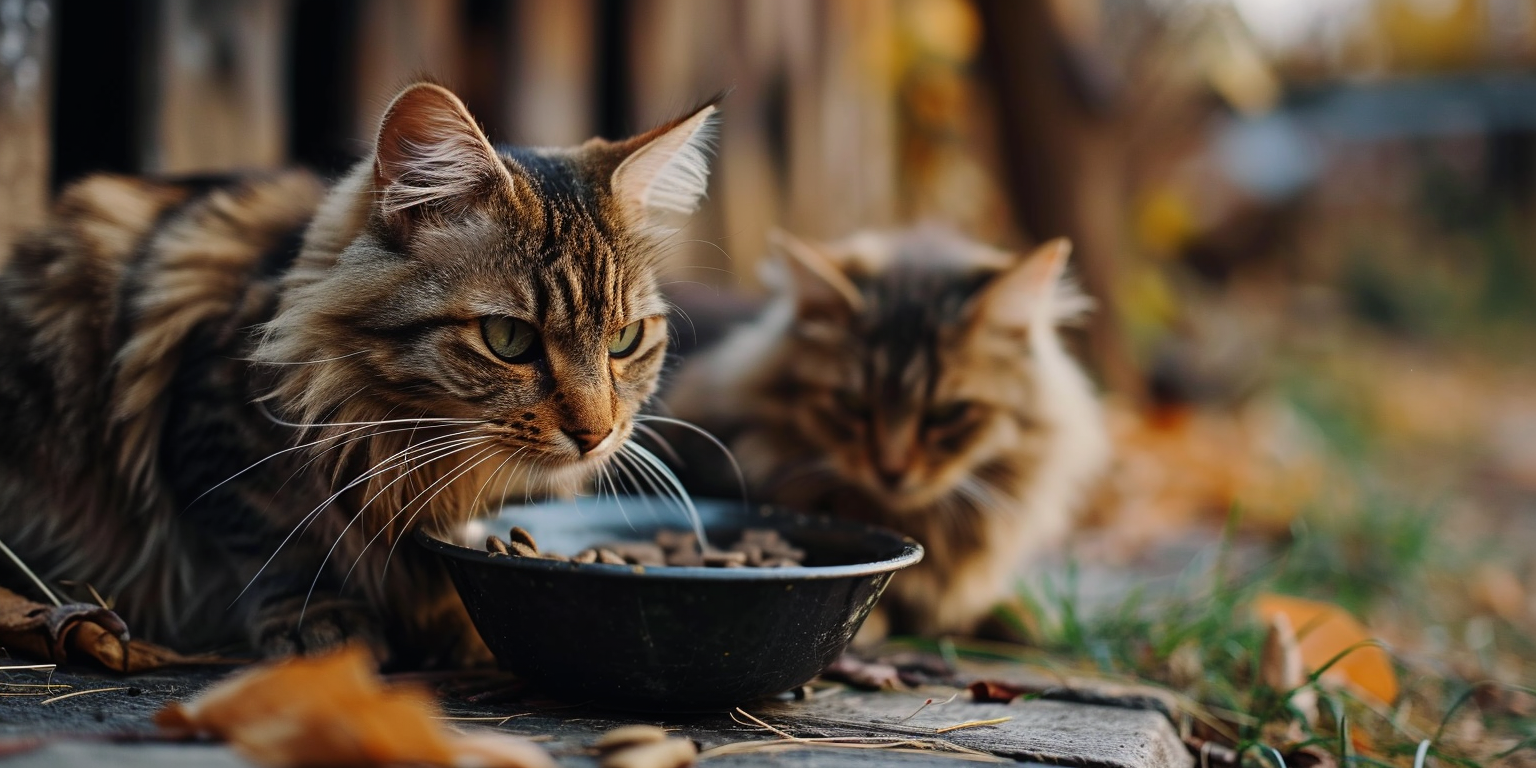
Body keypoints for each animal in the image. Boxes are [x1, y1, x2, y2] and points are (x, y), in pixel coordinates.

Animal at [0, 81, 718, 663]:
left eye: (624, 339)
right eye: (508, 340)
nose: (595, 434)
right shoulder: (209, 422)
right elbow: (274, 540)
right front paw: (324, 623)